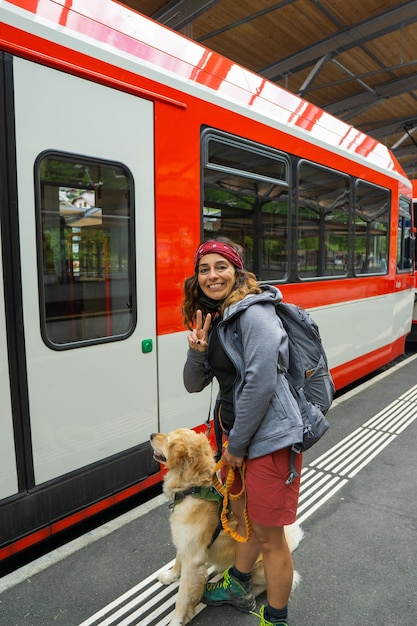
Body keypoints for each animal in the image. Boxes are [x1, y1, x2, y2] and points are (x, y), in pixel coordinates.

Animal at [150, 426, 302, 624]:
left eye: (168, 440)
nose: (151, 435)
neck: (193, 488)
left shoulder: (193, 557)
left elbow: (182, 598)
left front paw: (176, 620)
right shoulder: (184, 541)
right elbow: (177, 560)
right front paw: (170, 575)